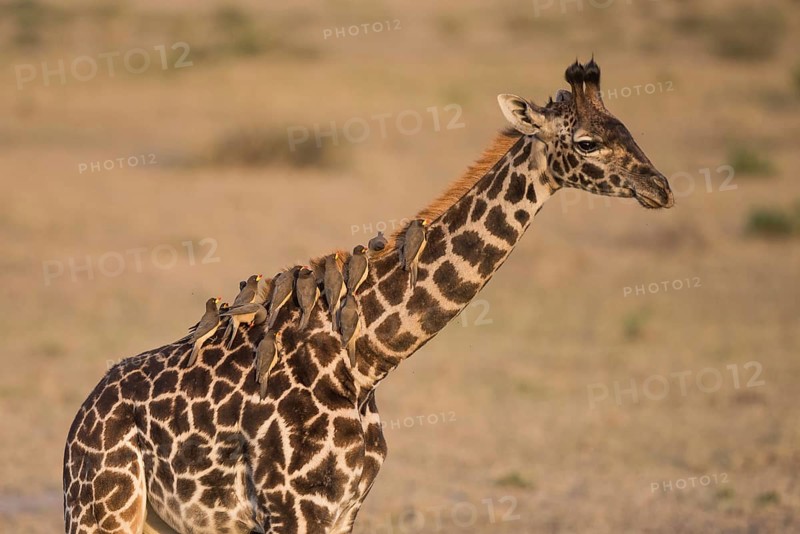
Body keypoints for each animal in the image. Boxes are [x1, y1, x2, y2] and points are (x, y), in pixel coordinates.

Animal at [62, 59, 674, 534]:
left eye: (626, 128)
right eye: (588, 142)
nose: (661, 187)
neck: (365, 362)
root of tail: (81, 419)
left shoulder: (343, 508)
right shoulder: (295, 510)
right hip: (102, 508)